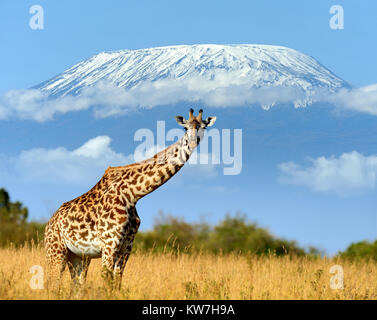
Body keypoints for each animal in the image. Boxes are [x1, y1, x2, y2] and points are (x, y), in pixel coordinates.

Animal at [43, 108, 216, 290]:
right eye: (185, 127)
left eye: (204, 126)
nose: (193, 142)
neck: (132, 195)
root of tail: (49, 223)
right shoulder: (109, 244)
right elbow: (106, 281)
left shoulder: (126, 246)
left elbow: (117, 282)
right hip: (55, 251)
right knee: (52, 284)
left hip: (79, 257)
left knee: (77, 286)